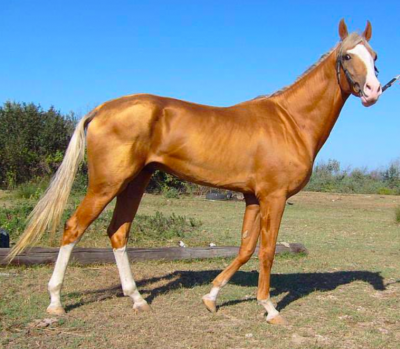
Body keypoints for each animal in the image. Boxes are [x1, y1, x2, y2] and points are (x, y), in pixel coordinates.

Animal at [8, 19, 382, 324]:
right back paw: (56, 302)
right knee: (73, 228)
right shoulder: (273, 198)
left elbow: (245, 249)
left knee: (117, 233)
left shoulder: (252, 198)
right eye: (347, 57)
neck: (289, 121)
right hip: (107, 184)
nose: (374, 91)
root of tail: (100, 109)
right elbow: (267, 251)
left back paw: (137, 299)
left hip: (134, 183)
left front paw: (211, 297)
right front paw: (269, 307)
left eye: (374, 56)